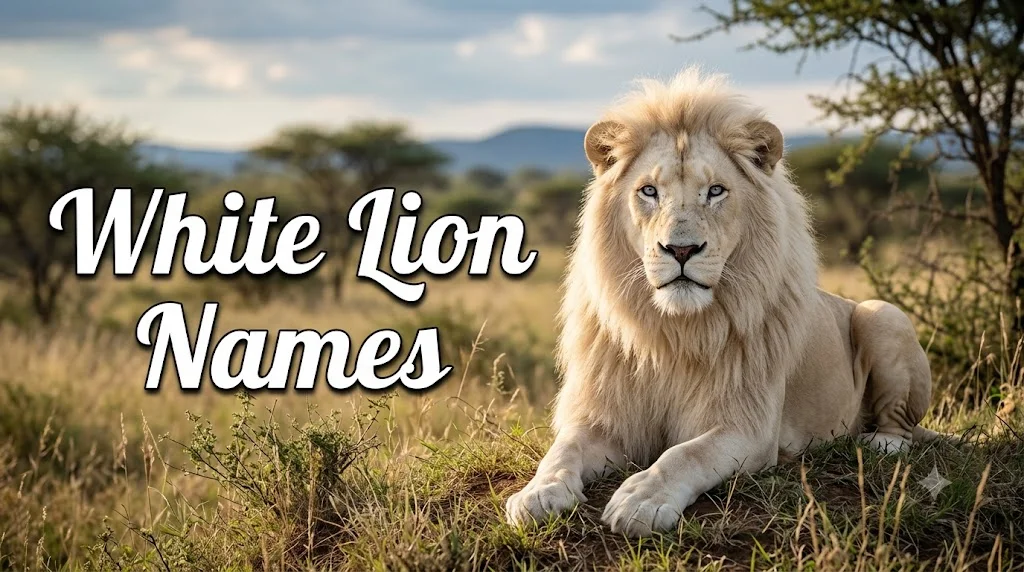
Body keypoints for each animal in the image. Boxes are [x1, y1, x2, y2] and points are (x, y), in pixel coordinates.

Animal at [504, 68, 934, 538]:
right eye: (649, 191)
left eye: (715, 191)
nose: (681, 249)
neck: (671, 332)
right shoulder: (604, 420)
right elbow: (562, 451)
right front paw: (537, 494)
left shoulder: (747, 428)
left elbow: (684, 455)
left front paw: (642, 499)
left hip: (883, 314)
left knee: (901, 427)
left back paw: (877, 443)